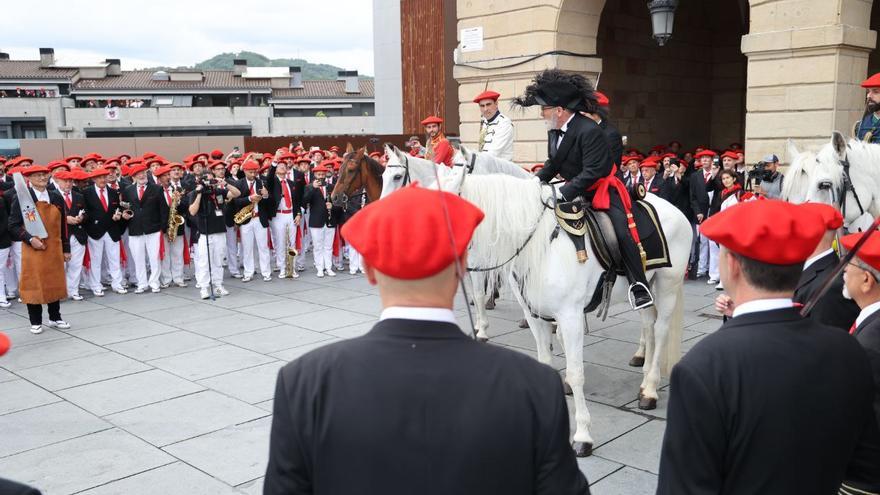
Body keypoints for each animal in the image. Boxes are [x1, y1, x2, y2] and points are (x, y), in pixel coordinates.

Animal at [430, 164, 692, 458]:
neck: (541, 246)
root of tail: (675, 209)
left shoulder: (570, 317)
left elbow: (576, 373)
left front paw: (582, 435)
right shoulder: (535, 316)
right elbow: (547, 362)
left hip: (668, 285)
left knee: (660, 330)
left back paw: (650, 390)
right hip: (647, 284)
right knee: (648, 323)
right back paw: (646, 376)